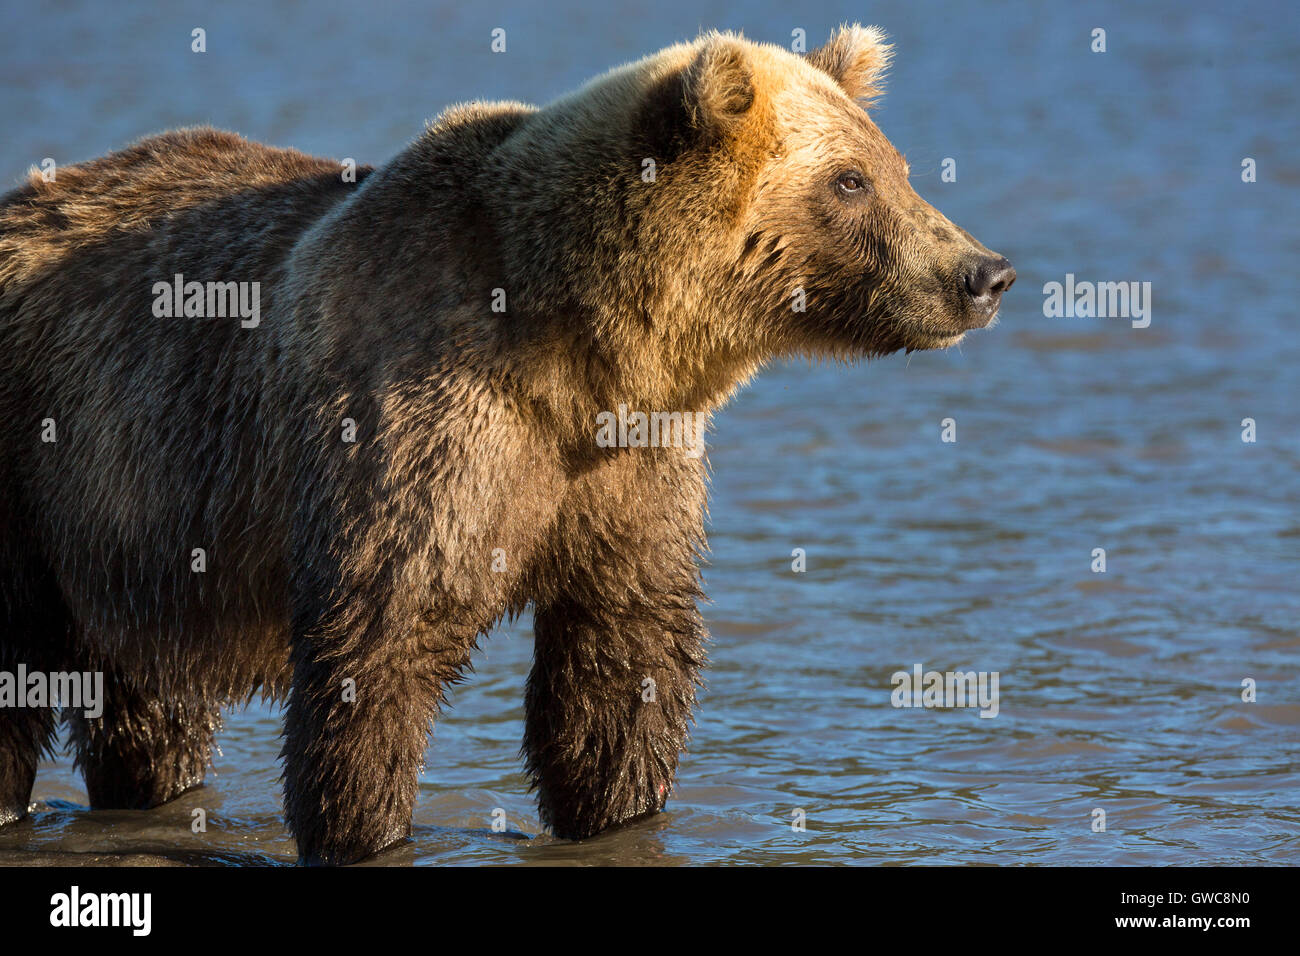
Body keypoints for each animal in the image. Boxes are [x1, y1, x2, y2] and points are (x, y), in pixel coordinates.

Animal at [0, 24, 1013, 868]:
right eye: (850, 181)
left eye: (896, 166)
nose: (983, 272)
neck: (580, 354)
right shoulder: (423, 429)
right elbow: (382, 645)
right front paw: (361, 827)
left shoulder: (627, 471)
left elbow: (622, 657)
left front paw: (614, 809)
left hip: (132, 531)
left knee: (146, 700)